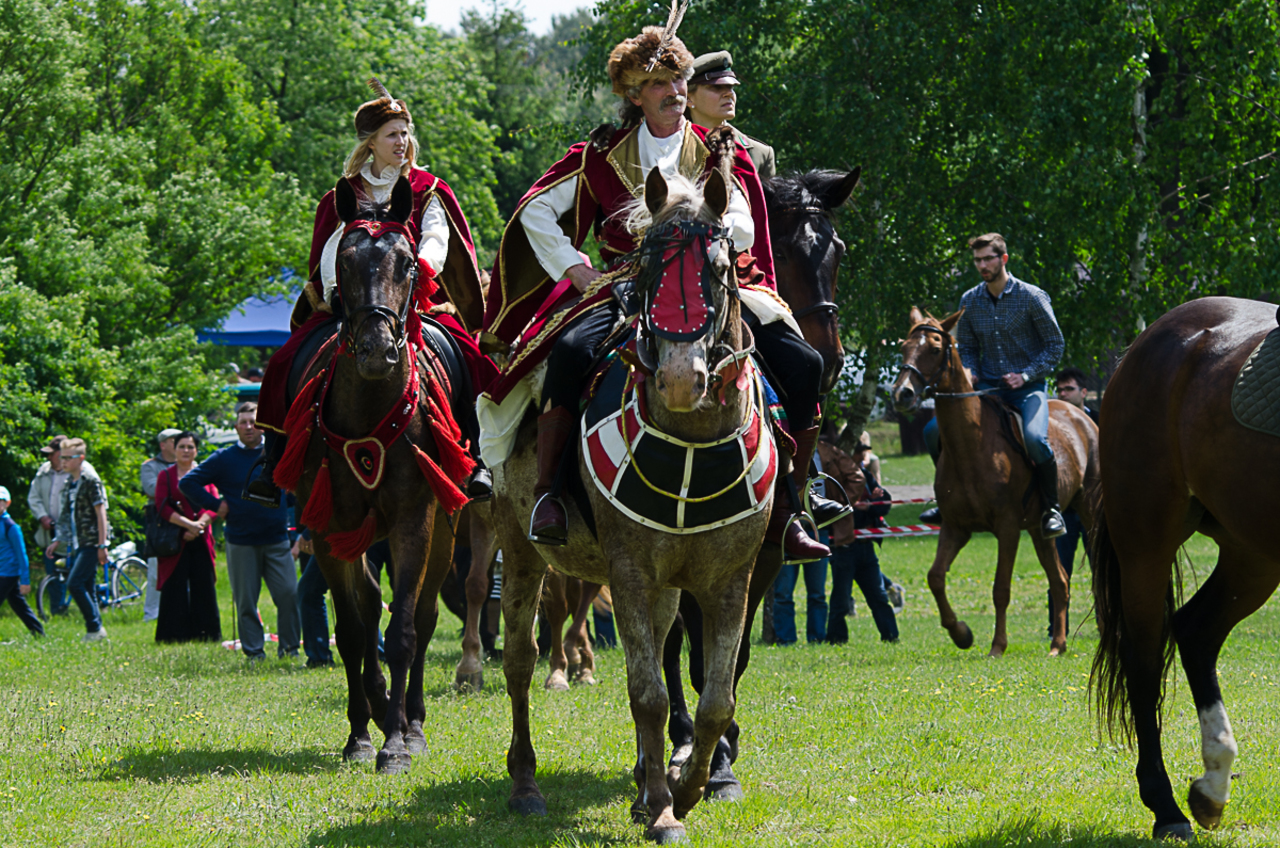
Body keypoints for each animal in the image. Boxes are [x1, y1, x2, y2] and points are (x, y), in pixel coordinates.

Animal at [280, 179, 476, 778]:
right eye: (343, 260)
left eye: (408, 263)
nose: (376, 351)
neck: (369, 405)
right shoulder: (329, 527)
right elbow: (351, 629)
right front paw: (360, 736)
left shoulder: (417, 520)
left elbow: (405, 629)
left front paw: (396, 743)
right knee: (367, 611)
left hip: (447, 531)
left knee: (428, 614)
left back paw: (411, 721)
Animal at [488, 167, 768, 845]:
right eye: (644, 270)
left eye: (720, 268)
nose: (680, 380)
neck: (692, 441)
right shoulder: (631, 573)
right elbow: (650, 695)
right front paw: (666, 810)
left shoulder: (729, 580)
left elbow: (715, 700)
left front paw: (687, 789)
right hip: (518, 546)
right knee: (519, 660)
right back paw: (526, 783)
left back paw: (647, 782)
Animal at [660, 167, 860, 804]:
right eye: (786, 253)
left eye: (837, 250)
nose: (831, 357)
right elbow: (699, 654)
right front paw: (710, 759)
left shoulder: (764, 554)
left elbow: (735, 655)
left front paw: (724, 748)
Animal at [890, 308, 1100, 660]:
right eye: (904, 347)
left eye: (935, 348)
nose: (902, 394)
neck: (971, 445)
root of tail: (1082, 416)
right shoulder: (956, 528)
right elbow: (935, 577)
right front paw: (962, 633)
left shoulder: (1007, 528)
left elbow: (1000, 588)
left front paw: (997, 646)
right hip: (1040, 531)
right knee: (1059, 580)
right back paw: (1057, 644)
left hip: (1090, 511)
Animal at [1090, 295, 1280, 840]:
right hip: (1145, 543)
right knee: (1145, 659)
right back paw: (1168, 807)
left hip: (1252, 551)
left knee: (1196, 630)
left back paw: (1211, 787)